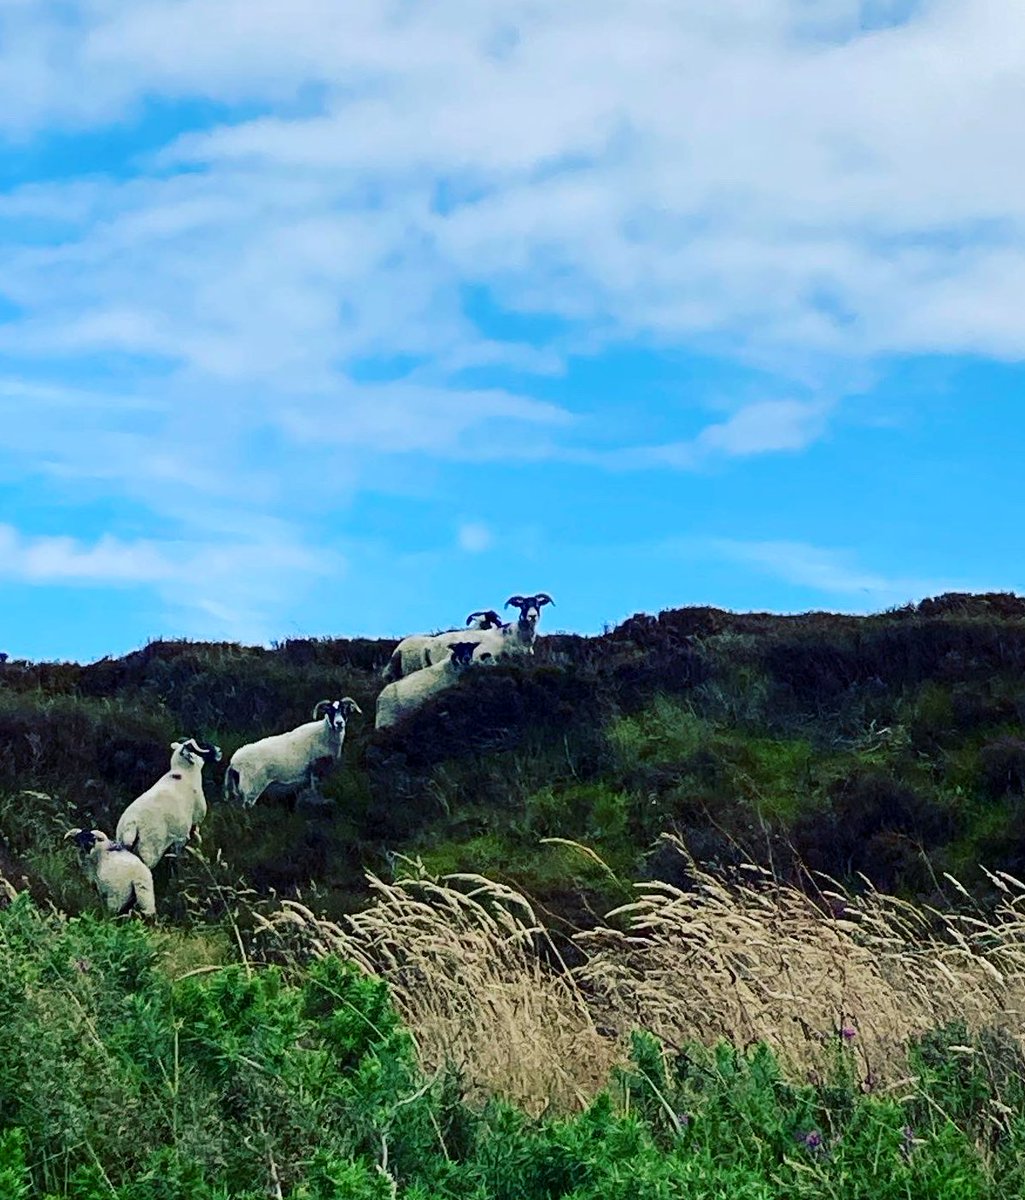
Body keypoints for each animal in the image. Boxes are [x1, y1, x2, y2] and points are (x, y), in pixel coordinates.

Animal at [115, 738, 222, 869]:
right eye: (203, 745)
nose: (219, 751)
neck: (183, 773)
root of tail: (131, 824)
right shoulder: (195, 821)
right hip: (150, 850)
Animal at [224, 698, 362, 809]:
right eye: (329, 711)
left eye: (345, 710)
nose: (339, 723)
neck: (323, 734)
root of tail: (233, 764)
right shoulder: (315, 769)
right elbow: (315, 788)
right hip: (251, 789)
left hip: (240, 789)